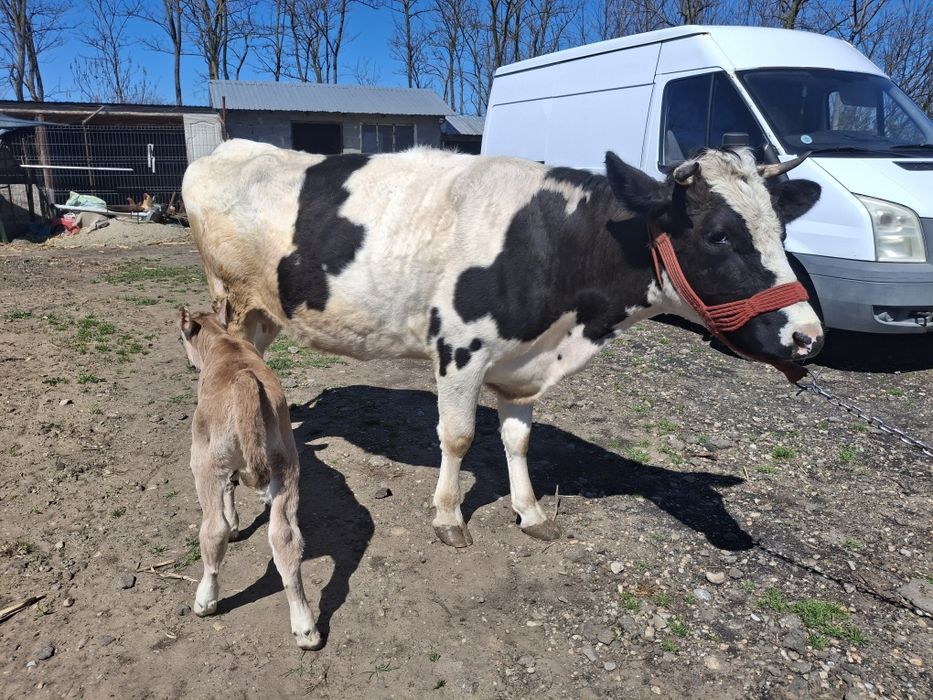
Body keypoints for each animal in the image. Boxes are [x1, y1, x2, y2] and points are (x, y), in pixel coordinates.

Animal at [182, 139, 823, 549]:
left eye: (783, 232)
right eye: (718, 235)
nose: (809, 337)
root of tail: (224, 149)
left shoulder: (522, 366)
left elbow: (517, 439)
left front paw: (531, 510)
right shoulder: (459, 348)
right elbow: (459, 436)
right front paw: (448, 517)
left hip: (264, 312)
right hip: (231, 302)